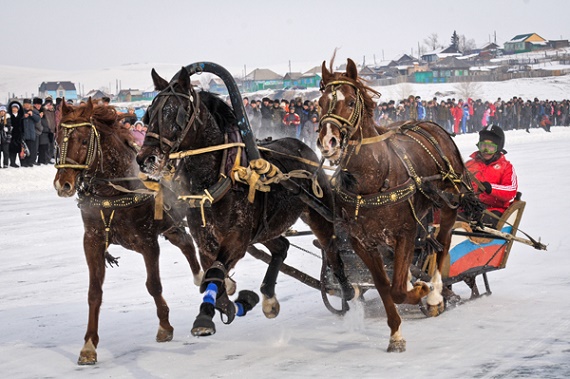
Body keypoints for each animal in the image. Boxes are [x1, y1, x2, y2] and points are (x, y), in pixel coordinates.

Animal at [51, 99, 202, 366]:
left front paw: (164, 325)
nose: (63, 184)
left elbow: (154, 285)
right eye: (58, 139)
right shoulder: (92, 240)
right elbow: (94, 292)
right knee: (184, 241)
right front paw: (89, 345)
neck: (114, 191)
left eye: (84, 140)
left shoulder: (147, 241)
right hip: (170, 224)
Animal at [136, 67, 350, 336]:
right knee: (281, 247)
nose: (145, 159)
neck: (218, 179)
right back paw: (268, 295)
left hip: (317, 214)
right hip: (267, 227)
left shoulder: (237, 238)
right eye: (149, 113)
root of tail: (305, 149)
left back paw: (347, 293)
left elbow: (214, 275)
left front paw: (205, 317)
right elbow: (213, 279)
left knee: (332, 250)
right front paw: (234, 301)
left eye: (175, 111)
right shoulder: (206, 242)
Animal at [318, 58, 478, 354]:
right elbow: (384, 286)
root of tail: (429, 125)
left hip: (448, 204)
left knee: (443, 243)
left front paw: (424, 291)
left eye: (349, 102)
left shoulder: (405, 231)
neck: (373, 178)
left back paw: (435, 291)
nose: (328, 142)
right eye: (321, 102)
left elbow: (399, 290)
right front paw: (395, 335)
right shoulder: (363, 242)